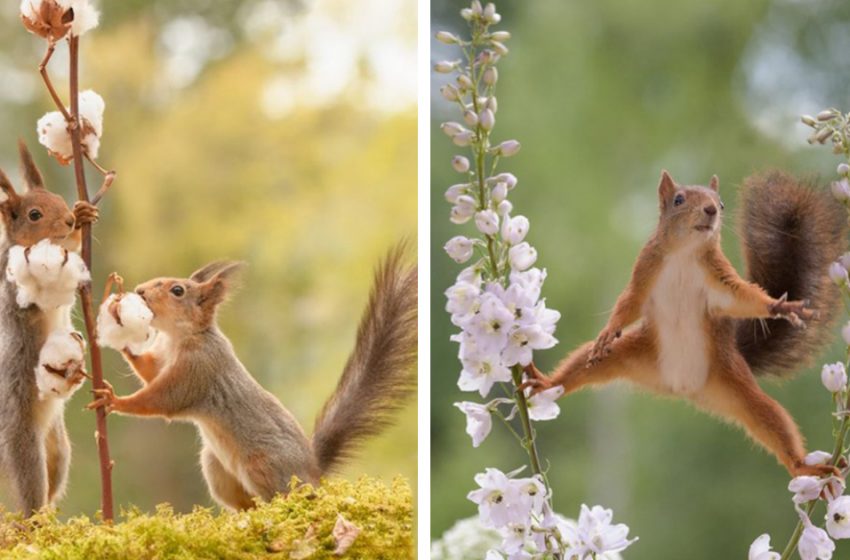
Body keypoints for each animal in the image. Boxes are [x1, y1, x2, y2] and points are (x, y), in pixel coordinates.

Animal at [88, 247, 416, 510]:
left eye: (177, 291)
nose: (140, 291)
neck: (181, 338)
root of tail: (314, 471)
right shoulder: (163, 359)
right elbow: (149, 370)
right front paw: (120, 329)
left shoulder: (198, 370)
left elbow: (161, 398)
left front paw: (114, 399)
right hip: (216, 467)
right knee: (247, 503)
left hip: (264, 466)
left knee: (281, 498)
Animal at [528, 170, 844, 476]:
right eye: (678, 200)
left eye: (721, 203)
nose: (711, 210)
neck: (684, 253)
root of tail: (683, 389)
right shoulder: (645, 270)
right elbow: (629, 303)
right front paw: (608, 329)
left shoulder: (721, 281)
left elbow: (744, 298)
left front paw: (779, 306)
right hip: (628, 354)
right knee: (582, 366)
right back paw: (545, 382)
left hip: (735, 382)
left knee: (771, 418)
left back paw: (804, 466)